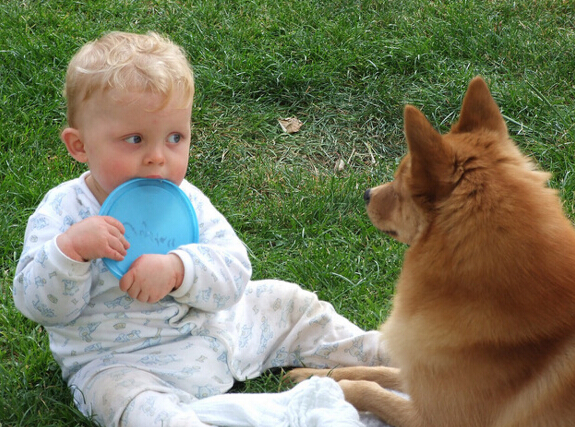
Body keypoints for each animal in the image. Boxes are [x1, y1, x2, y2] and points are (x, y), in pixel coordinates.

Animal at [288, 77, 575, 426]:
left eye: (400, 185)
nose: (367, 193)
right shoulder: (421, 376)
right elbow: (380, 371)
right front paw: (314, 374)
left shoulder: (432, 417)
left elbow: (371, 389)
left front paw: (330, 385)